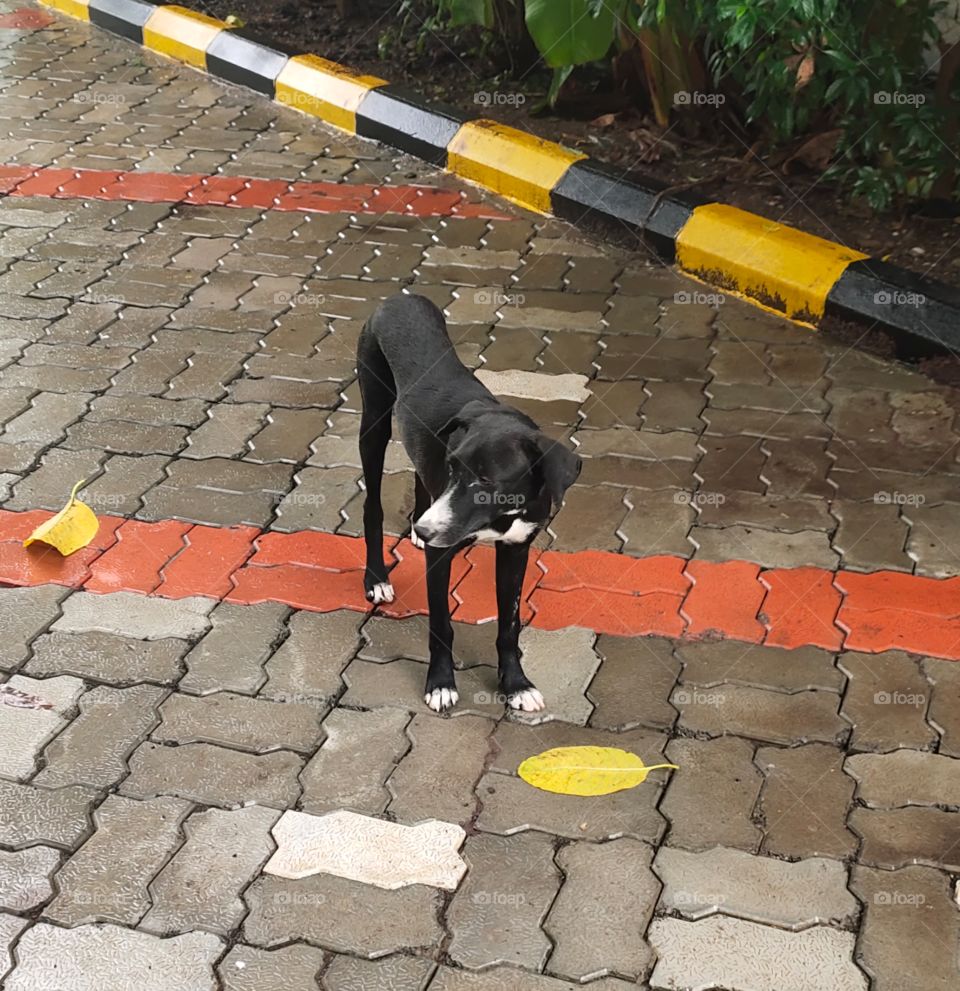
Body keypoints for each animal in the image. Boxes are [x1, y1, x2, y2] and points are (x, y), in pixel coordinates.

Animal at [356, 292, 580, 712]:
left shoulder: (516, 549)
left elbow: (509, 625)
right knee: (371, 507)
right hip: (373, 419)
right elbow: (441, 623)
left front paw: (516, 684)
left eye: (486, 481)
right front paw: (441, 683)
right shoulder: (440, 555)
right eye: (453, 466)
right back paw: (377, 577)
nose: (427, 529)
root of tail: (401, 297)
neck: (502, 515)